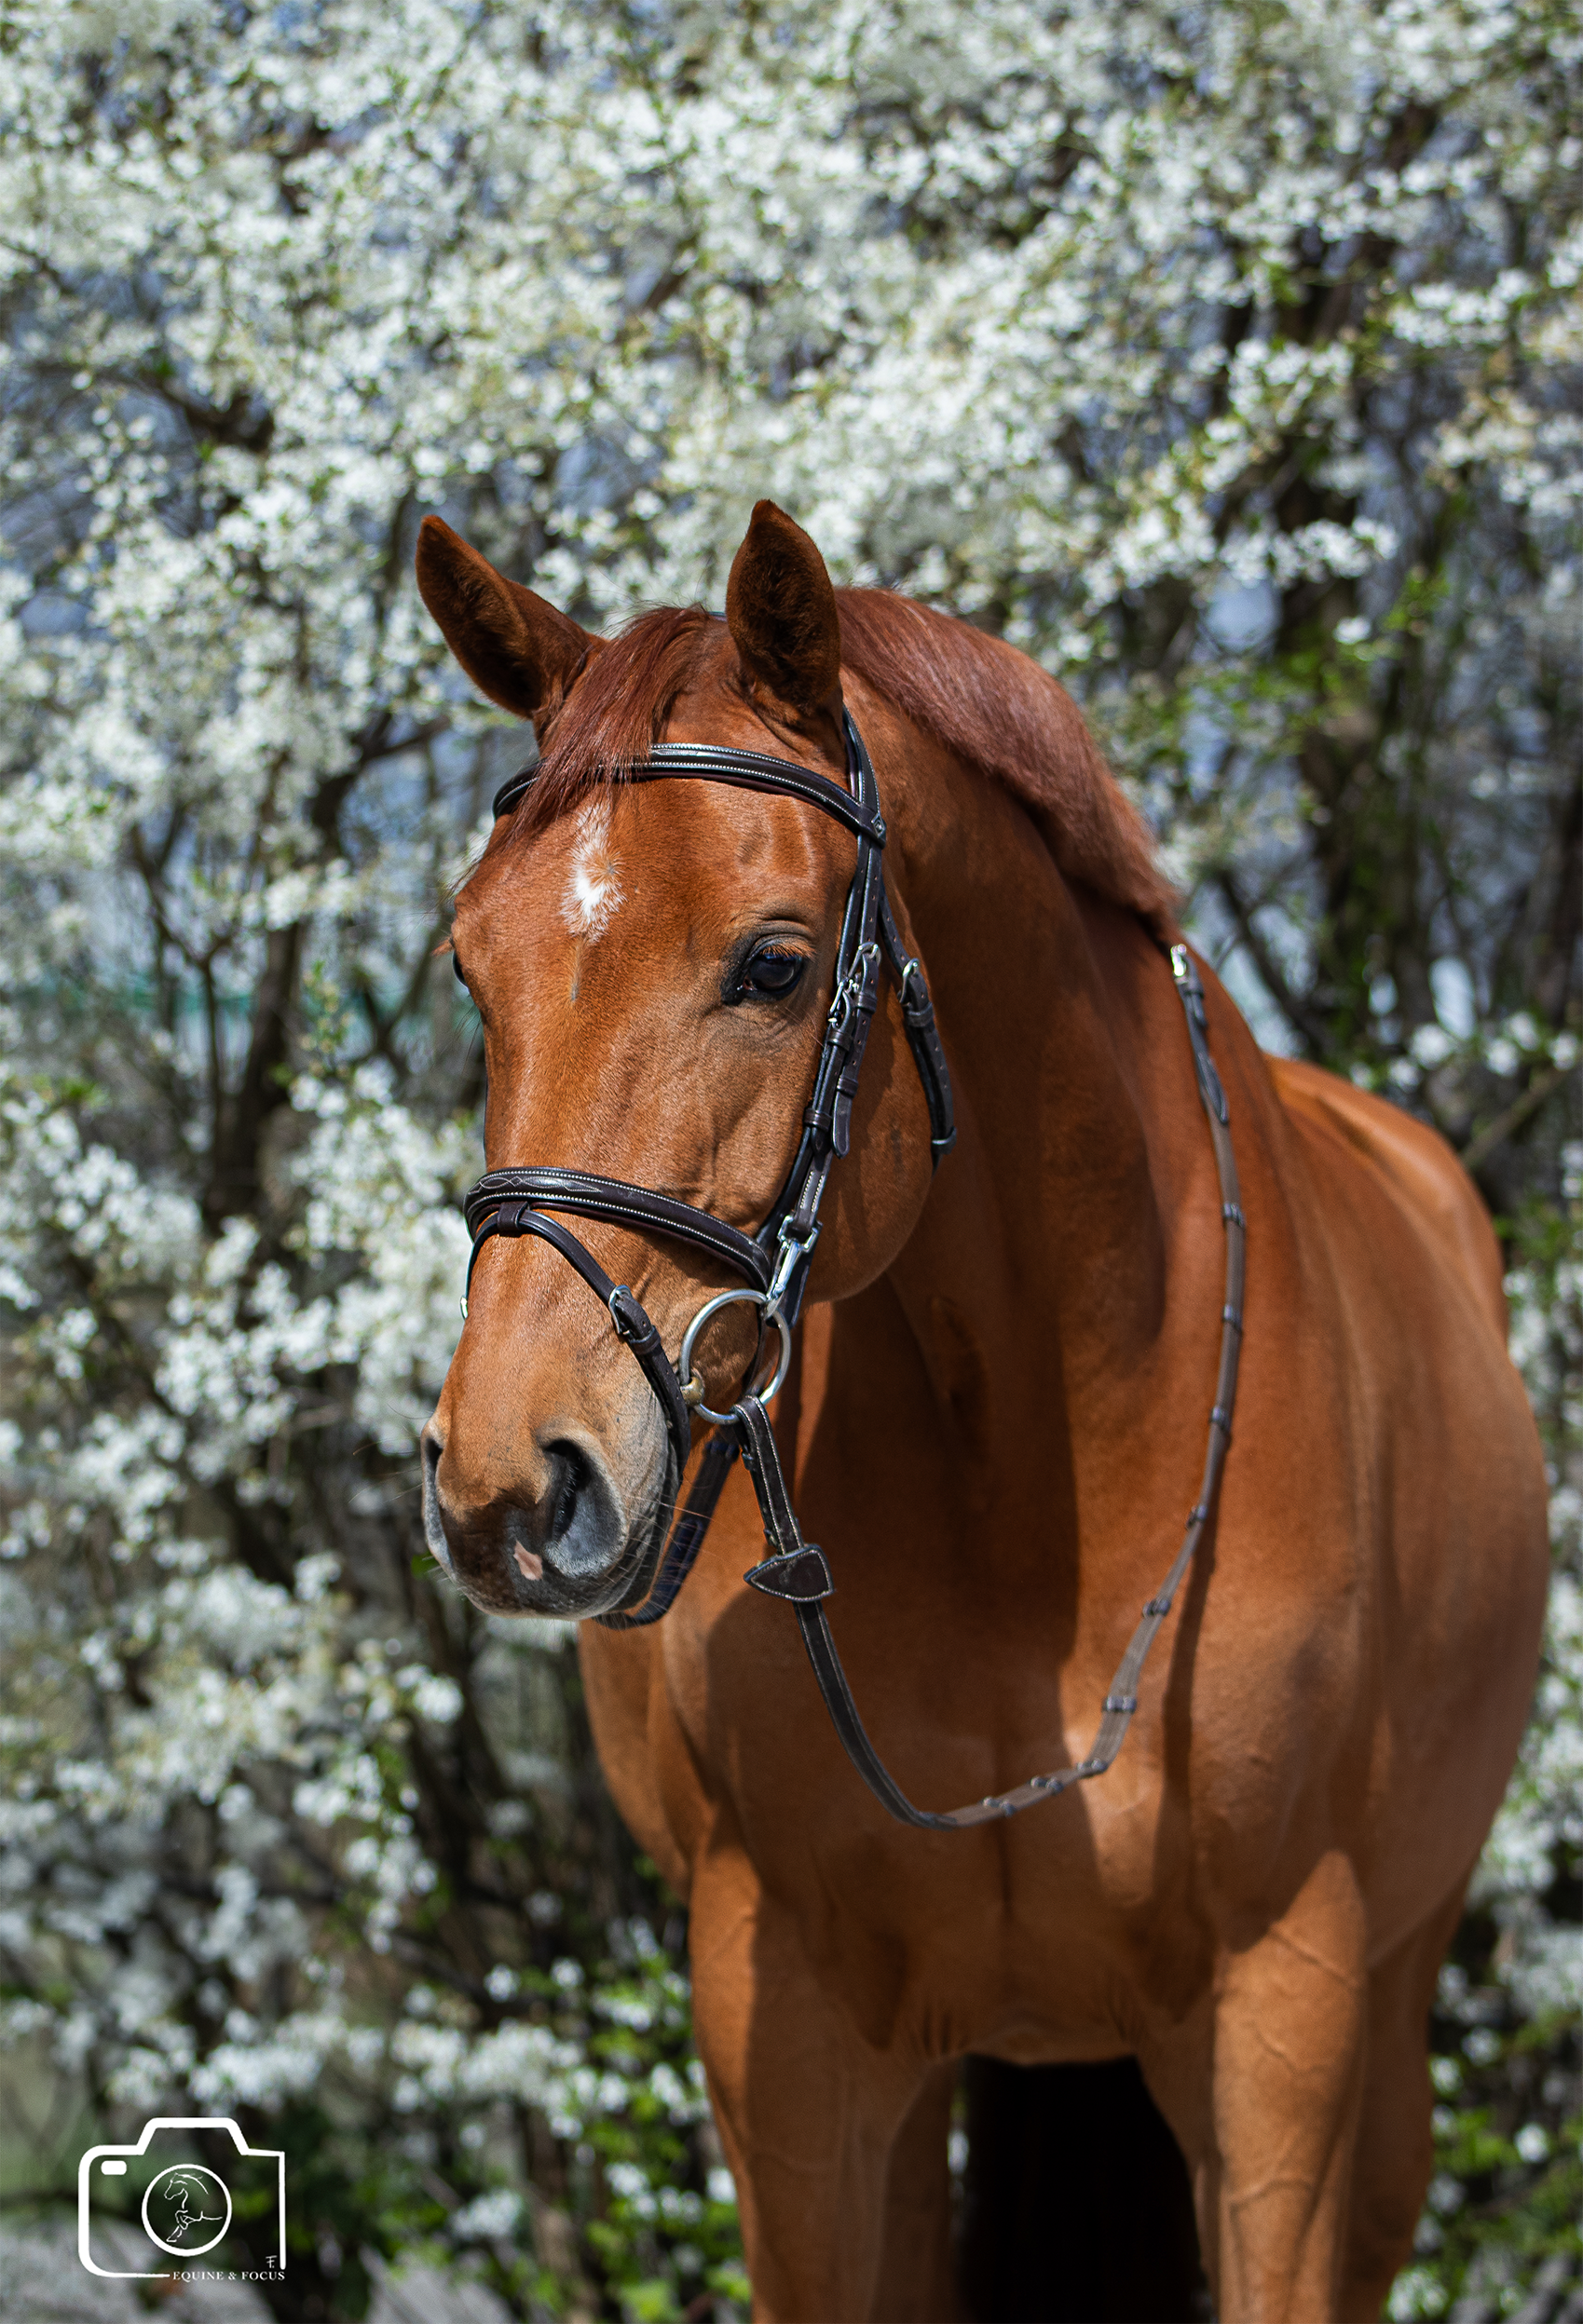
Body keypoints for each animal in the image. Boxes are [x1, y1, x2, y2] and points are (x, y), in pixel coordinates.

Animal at [416, 498, 1548, 2323]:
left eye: (775, 964)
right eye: (471, 965)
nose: (514, 1482)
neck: (1039, 1467)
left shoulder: (1281, 2022)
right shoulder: (788, 2038)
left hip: (1385, 2020)